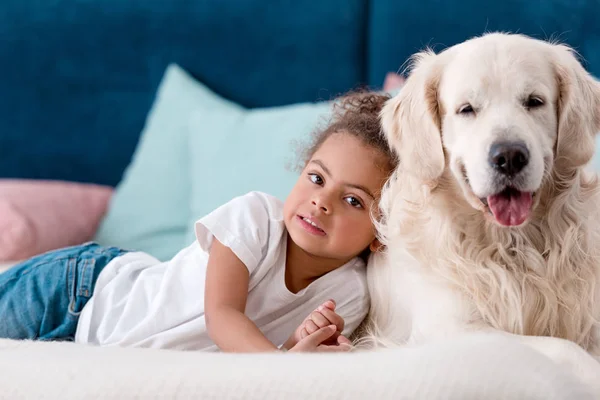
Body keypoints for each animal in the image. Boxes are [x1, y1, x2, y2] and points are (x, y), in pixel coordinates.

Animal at [366, 33, 600, 390]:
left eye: (534, 101)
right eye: (466, 109)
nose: (509, 156)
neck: (511, 247)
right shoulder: (450, 328)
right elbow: (564, 348)